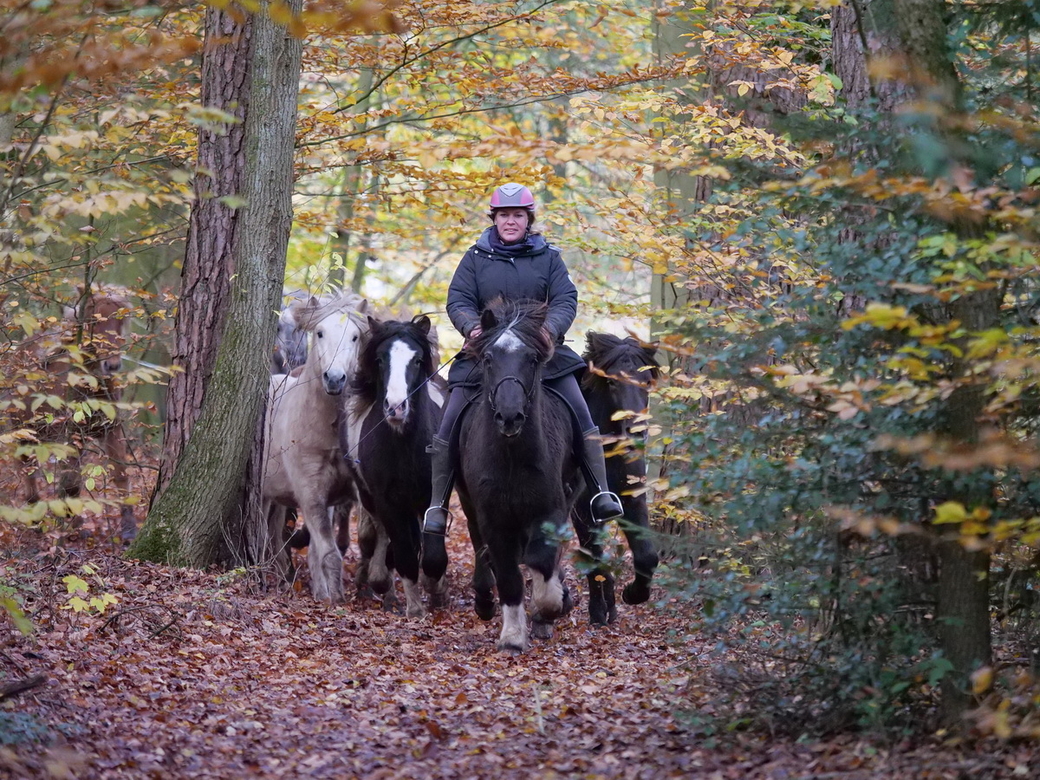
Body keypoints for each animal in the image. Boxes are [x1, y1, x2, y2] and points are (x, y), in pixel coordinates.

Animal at [264, 293, 374, 603]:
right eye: (320, 333)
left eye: (354, 336)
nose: (335, 378)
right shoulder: (310, 495)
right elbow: (328, 552)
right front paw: (334, 601)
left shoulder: (340, 496)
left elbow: (322, 550)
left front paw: (326, 594)